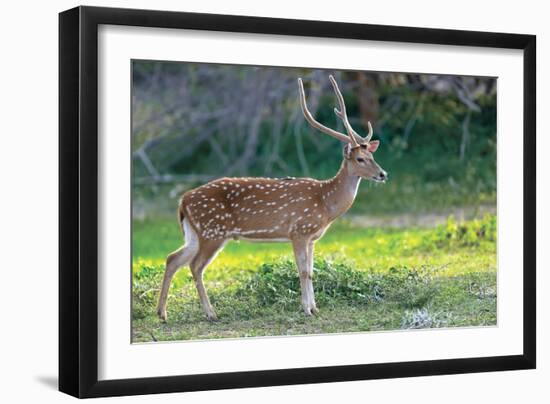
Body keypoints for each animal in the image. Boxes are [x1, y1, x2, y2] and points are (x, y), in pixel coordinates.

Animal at [156, 75, 388, 322]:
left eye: (372, 155)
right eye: (360, 159)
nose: (383, 174)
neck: (326, 203)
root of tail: (183, 201)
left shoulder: (312, 237)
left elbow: (311, 271)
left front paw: (315, 308)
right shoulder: (299, 230)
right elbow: (303, 271)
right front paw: (306, 309)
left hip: (195, 232)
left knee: (173, 258)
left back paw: (162, 313)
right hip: (213, 231)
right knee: (195, 265)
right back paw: (210, 313)